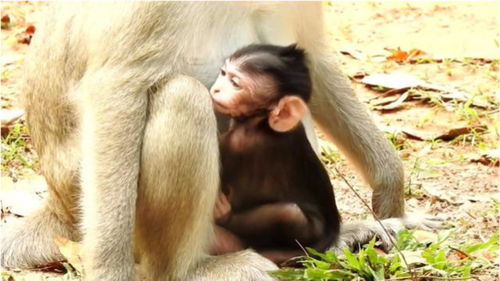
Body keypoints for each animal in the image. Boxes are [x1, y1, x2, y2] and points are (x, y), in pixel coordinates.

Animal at [209, 43, 342, 262]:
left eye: (235, 83)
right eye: (223, 73)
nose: (216, 88)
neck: (262, 123)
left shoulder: (239, 142)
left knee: (289, 213)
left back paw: (224, 216)